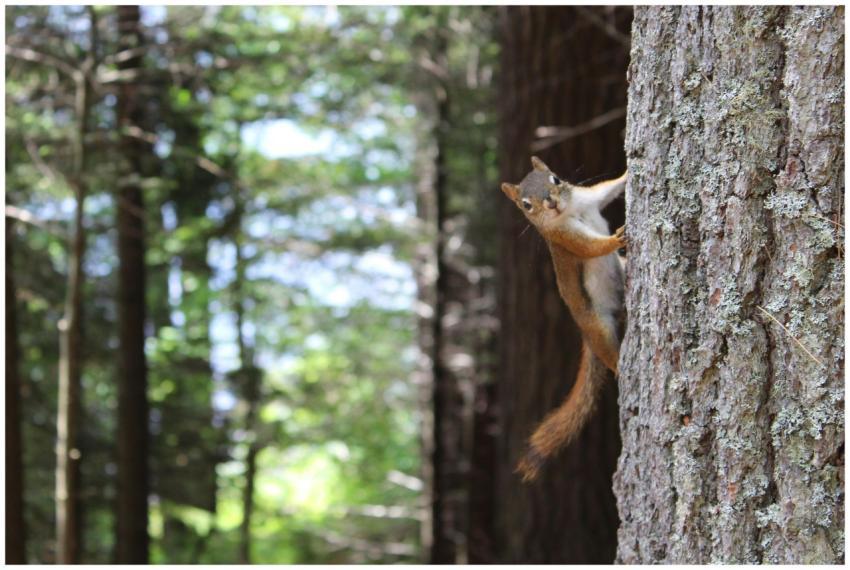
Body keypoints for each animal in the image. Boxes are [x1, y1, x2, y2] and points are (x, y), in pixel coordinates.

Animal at [501, 156, 626, 482]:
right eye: (526, 205)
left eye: (555, 179)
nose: (552, 203)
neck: (571, 211)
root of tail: (585, 335)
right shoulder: (564, 238)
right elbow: (590, 247)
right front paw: (615, 239)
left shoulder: (589, 198)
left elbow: (609, 189)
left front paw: (628, 172)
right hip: (598, 327)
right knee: (608, 354)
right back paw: (620, 366)